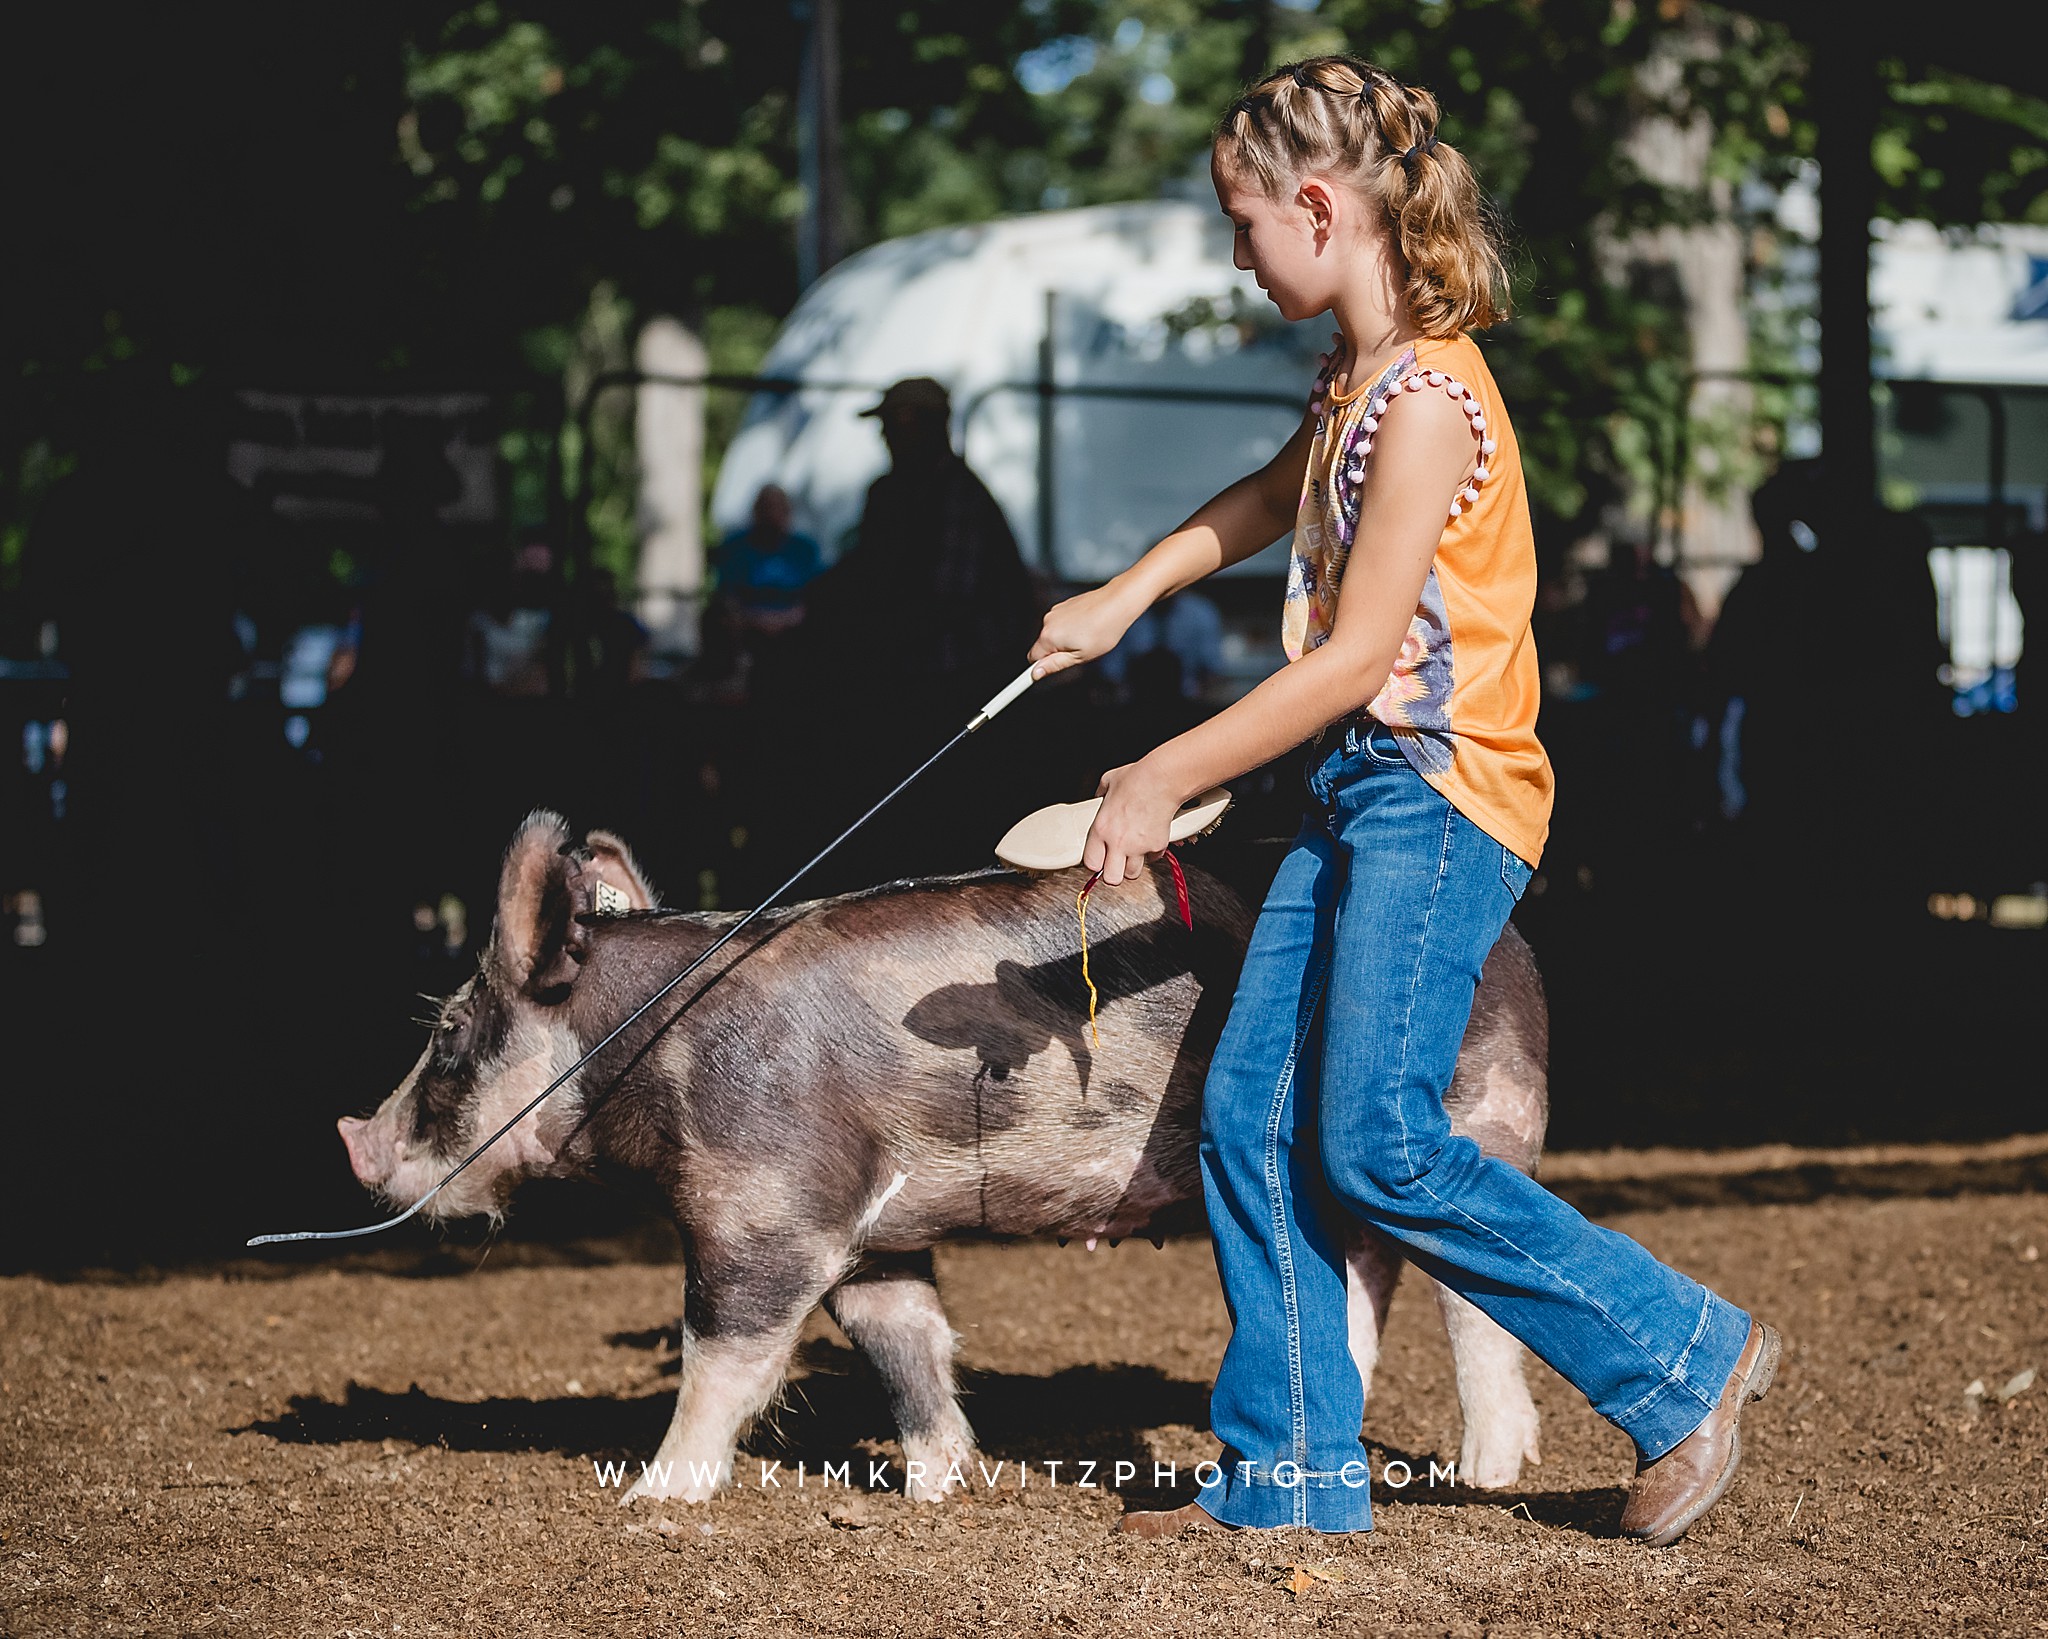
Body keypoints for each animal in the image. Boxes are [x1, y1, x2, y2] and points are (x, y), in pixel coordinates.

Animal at [344, 811, 1540, 1507]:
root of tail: (1520, 943)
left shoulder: (764, 1206)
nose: (353, 1140)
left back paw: (1488, 1469)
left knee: (1470, 1298)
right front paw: (937, 1487)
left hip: (1477, 1117)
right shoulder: (875, 1230)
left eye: (448, 1030)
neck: (646, 1052)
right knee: (1364, 1275)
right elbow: (902, 1339)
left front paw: (653, 1501)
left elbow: (722, 1350)